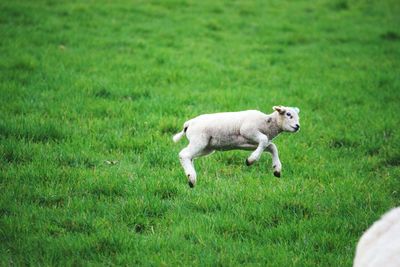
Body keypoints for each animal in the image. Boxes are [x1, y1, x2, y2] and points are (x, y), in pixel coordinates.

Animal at [172, 105, 300, 187]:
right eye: (288, 114)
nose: (297, 126)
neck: (267, 123)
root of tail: (189, 123)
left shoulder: (248, 142)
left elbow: (271, 146)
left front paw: (277, 169)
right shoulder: (248, 130)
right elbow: (264, 140)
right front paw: (251, 160)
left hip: (207, 147)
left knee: (189, 157)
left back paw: (190, 178)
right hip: (199, 140)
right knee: (184, 154)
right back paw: (192, 177)